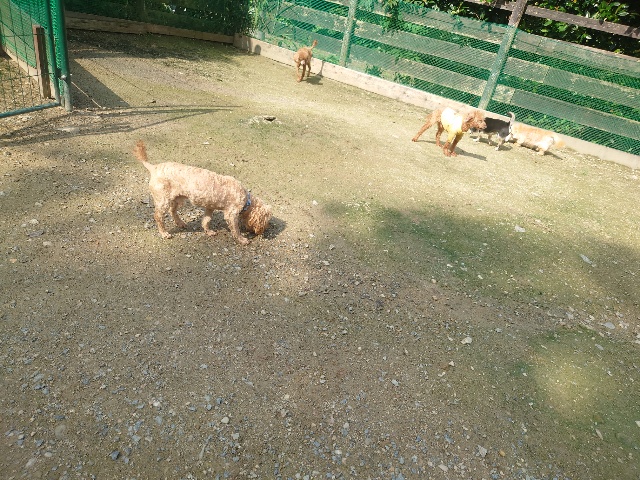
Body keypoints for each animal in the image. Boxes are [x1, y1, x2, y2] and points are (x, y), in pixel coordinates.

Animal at [134, 141, 272, 245]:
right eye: (266, 220)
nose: (264, 231)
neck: (246, 200)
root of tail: (153, 168)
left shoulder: (210, 207)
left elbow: (206, 220)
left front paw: (208, 232)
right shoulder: (231, 214)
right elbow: (235, 229)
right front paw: (242, 239)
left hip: (178, 198)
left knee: (172, 211)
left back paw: (180, 223)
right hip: (163, 200)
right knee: (158, 216)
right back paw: (164, 233)